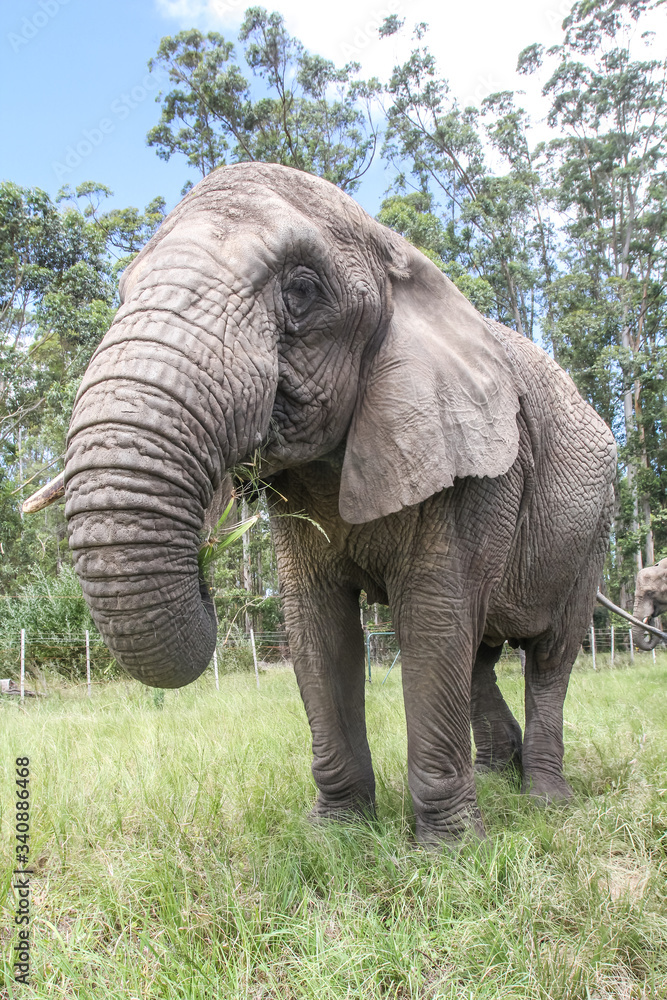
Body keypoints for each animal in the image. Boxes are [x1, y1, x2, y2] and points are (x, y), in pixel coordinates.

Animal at [37, 162, 617, 845]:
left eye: (303, 290)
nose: (208, 568)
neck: (395, 252)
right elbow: (317, 626)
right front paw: (337, 835)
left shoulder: (479, 467)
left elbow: (435, 618)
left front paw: (450, 852)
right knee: (481, 655)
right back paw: (499, 776)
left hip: (593, 530)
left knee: (550, 656)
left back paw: (545, 799)